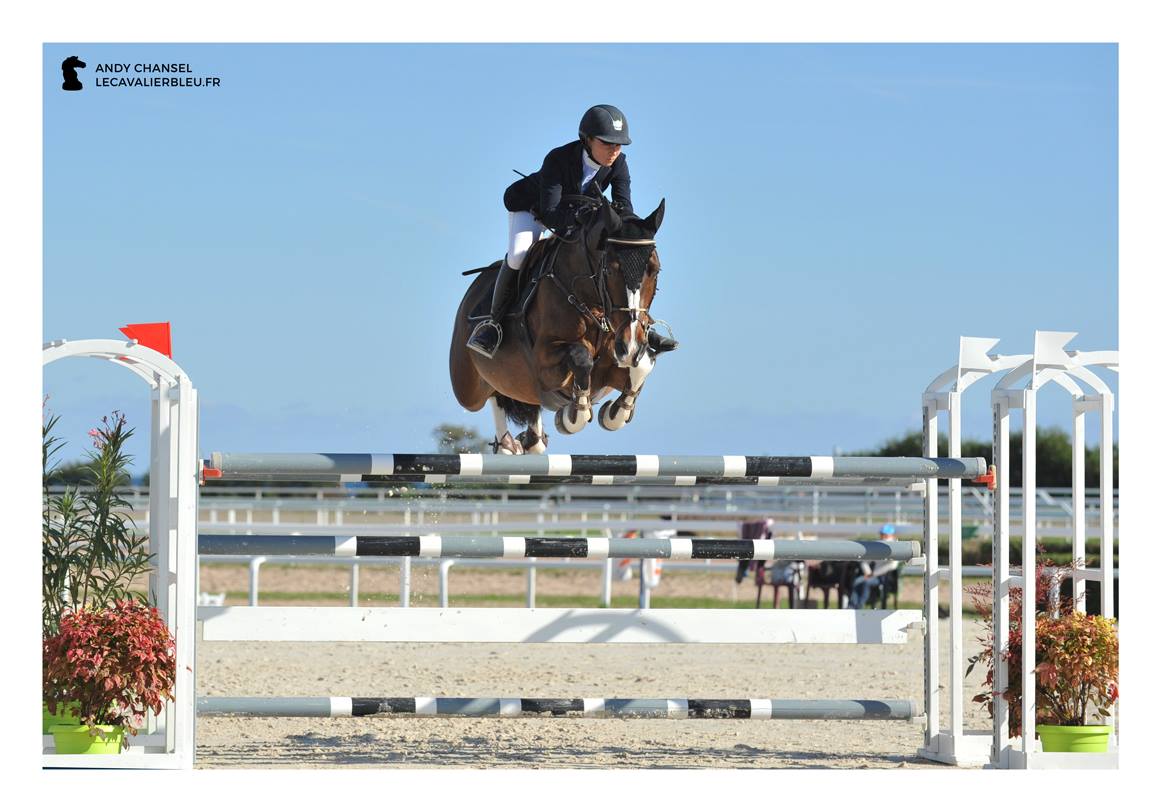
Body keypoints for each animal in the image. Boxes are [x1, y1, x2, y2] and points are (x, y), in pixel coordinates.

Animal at [448, 193, 668, 455]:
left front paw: (614, 414)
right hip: (467, 389)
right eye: (609, 270)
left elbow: (643, 364)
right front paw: (572, 416)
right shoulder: (545, 365)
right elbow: (581, 357)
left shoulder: (615, 363)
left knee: (525, 402)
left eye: (655, 270)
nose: (631, 344)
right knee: (492, 392)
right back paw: (507, 445)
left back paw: (532, 439)